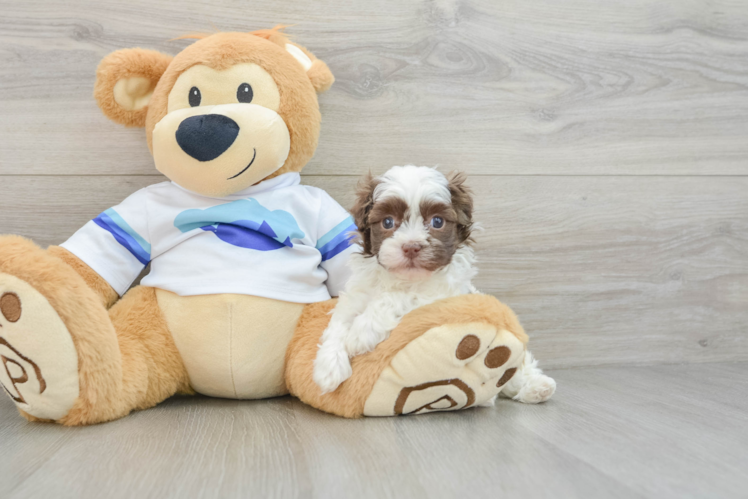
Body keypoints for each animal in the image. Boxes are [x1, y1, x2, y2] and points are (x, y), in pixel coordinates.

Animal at [312, 166, 556, 404]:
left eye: (437, 221)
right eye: (387, 222)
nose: (411, 246)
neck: (403, 279)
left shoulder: (440, 296)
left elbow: (398, 297)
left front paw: (361, 332)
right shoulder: (357, 295)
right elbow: (339, 322)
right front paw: (328, 367)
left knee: (517, 370)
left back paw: (535, 386)